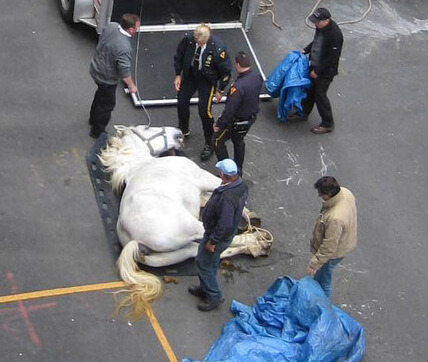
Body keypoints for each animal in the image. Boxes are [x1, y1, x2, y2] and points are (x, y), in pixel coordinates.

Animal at [98, 126, 270, 318]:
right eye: (147, 127)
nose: (178, 132)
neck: (141, 165)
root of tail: (131, 238)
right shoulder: (204, 178)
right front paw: (250, 217)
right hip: (196, 227)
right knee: (223, 241)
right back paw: (258, 241)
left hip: (174, 253)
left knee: (200, 253)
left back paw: (255, 247)